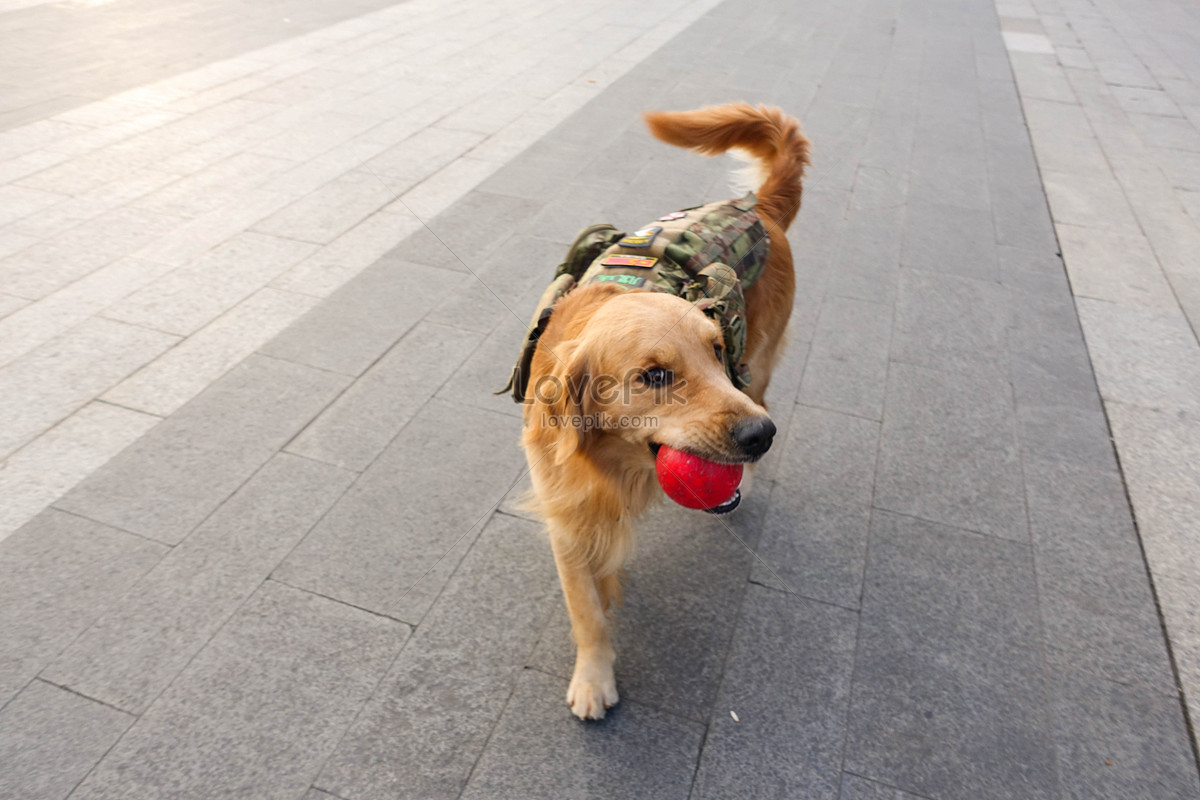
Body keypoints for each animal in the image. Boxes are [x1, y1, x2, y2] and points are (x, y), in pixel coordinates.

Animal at [506, 101, 806, 719]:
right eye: (654, 376)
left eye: (715, 349)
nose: (761, 436)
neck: (614, 465)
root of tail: (758, 205)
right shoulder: (565, 513)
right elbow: (586, 610)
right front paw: (594, 675)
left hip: (759, 363)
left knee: (763, 389)